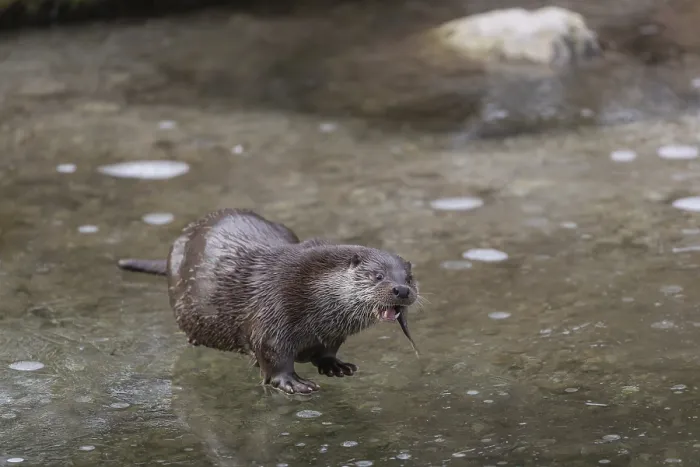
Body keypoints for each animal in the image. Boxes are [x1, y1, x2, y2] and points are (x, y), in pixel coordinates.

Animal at [117, 208, 420, 395]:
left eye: (409, 276)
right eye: (377, 275)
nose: (402, 290)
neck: (309, 290)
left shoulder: (332, 334)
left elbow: (327, 352)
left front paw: (336, 366)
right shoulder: (273, 312)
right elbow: (273, 356)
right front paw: (293, 383)